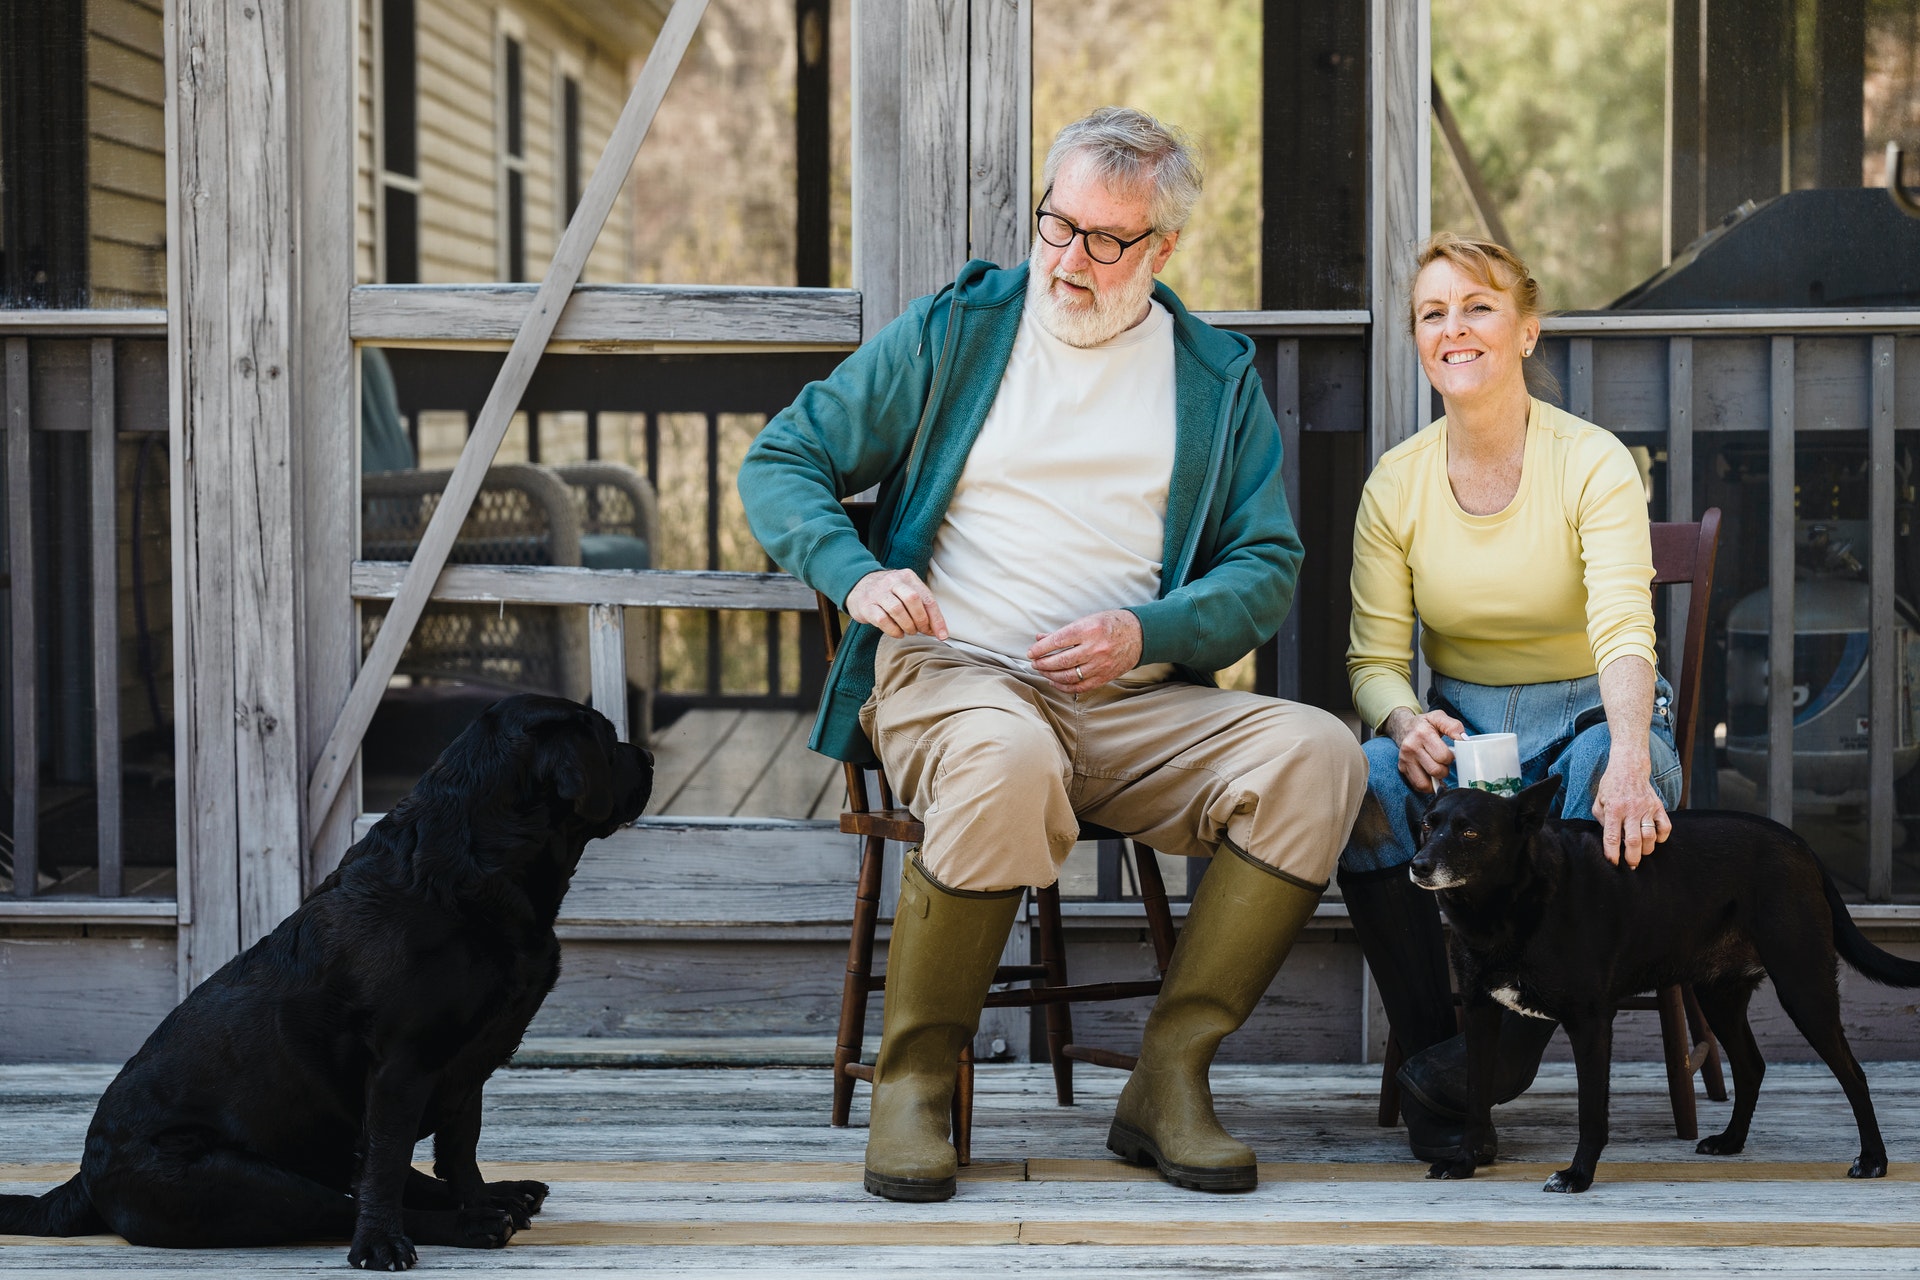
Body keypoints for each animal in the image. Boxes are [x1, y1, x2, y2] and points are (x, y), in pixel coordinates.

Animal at [0, 702, 652, 1274]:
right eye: (606, 740)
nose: (645, 755)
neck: (477, 865)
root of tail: (85, 1178)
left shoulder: (470, 1062)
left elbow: (458, 1149)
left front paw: (477, 1192)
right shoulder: (402, 1065)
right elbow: (387, 1165)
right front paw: (385, 1244)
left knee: (373, 1176)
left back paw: (503, 1196)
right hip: (244, 1181)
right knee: (341, 1201)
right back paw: (469, 1224)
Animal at [1413, 775, 1920, 1197]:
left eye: (1470, 833)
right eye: (1426, 825)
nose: (1418, 866)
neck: (1504, 908)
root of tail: (1800, 845)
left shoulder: (1590, 1022)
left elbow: (1590, 1111)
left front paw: (1578, 1175)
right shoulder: (1480, 1013)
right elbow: (1477, 1096)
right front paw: (1464, 1162)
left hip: (1803, 986)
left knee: (1853, 1073)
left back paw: (1873, 1159)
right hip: (1719, 996)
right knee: (1751, 1066)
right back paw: (1731, 1140)